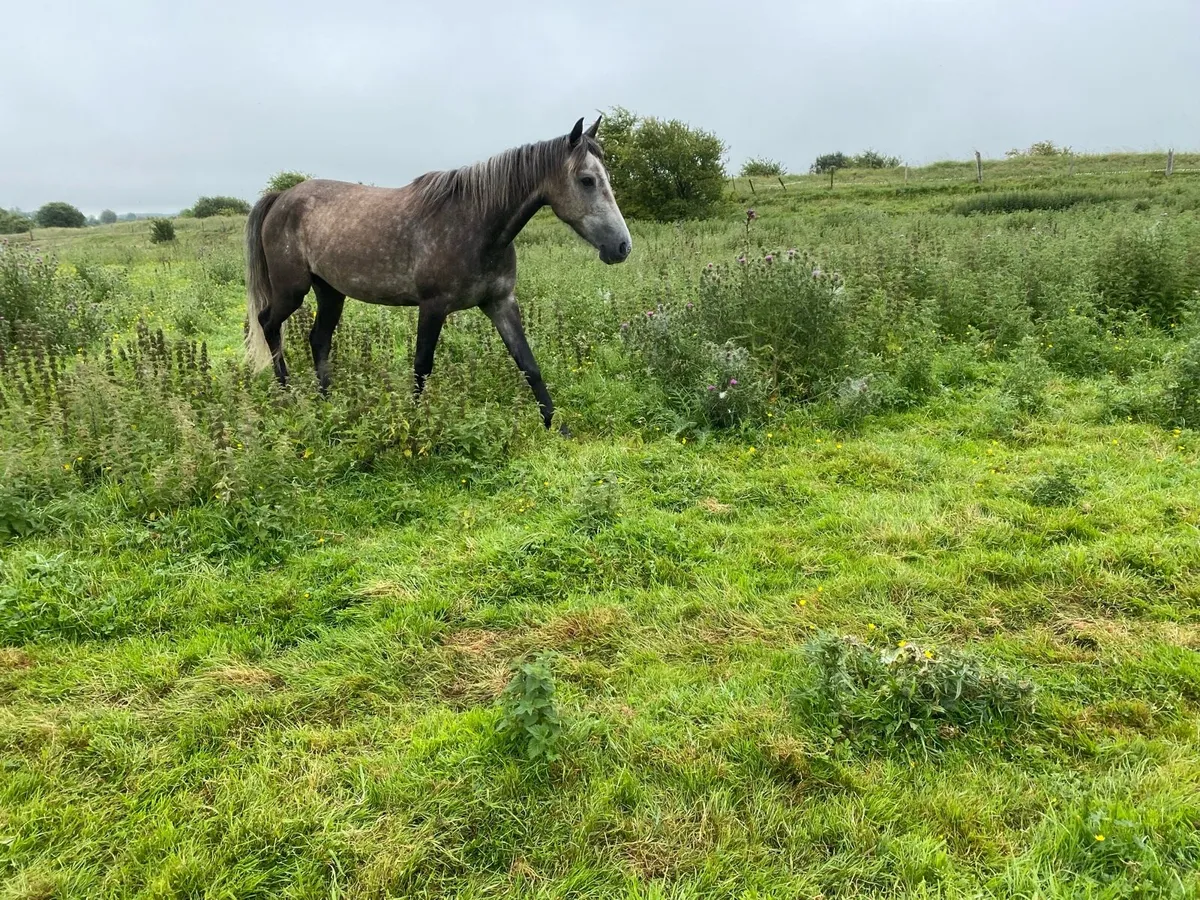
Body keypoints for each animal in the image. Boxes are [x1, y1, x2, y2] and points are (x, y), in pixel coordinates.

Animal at [243, 116, 631, 433]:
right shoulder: (433, 307)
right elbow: (422, 366)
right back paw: (287, 393)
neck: (477, 225)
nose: (622, 247)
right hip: (292, 290)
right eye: (587, 180)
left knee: (318, 339)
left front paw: (555, 425)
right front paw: (415, 423)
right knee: (267, 324)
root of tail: (281, 197)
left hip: (330, 292)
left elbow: (528, 364)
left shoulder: (500, 303)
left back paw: (326, 402)